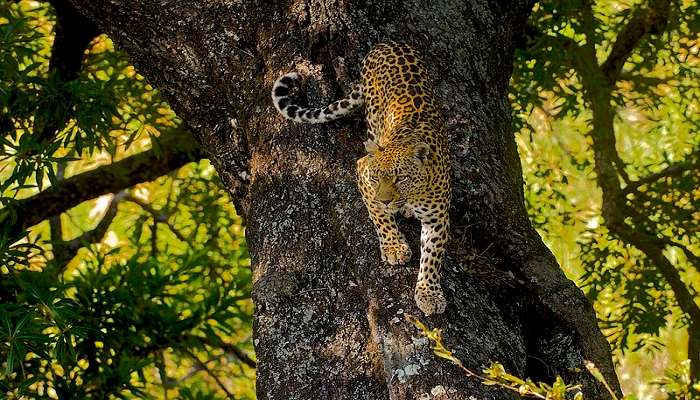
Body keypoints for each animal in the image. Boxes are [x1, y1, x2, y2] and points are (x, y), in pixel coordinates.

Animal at [270, 41, 452, 316]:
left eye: (400, 178)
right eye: (377, 178)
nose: (386, 200)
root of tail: (386, 43)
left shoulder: (437, 217)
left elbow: (432, 257)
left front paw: (429, 294)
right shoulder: (363, 171)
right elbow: (379, 217)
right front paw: (394, 247)